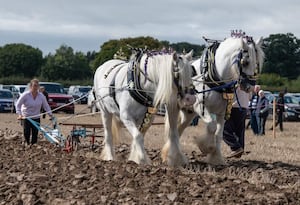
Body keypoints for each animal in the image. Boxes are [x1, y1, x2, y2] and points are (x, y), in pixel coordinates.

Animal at [164, 34, 264, 165]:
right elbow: (211, 126)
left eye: (258, 63)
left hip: (188, 112)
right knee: (172, 129)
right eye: (245, 62)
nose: (249, 87)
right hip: (173, 107)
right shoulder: (200, 106)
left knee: (179, 129)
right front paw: (206, 147)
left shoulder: (222, 112)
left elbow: (219, 134)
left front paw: (216, 158)